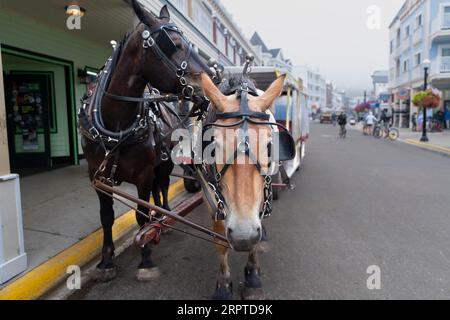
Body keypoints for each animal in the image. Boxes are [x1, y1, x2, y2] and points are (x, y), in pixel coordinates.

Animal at [81, 1, 213, 282]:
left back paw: (163, 217)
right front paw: (106, 261)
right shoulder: (97, 176)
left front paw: (145, 258)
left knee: (161, 186)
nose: (213, 81)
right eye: (174, 43)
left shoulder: (142, 173)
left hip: (163, 162)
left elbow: (140, 214)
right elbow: (106, 217)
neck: (115, 126)